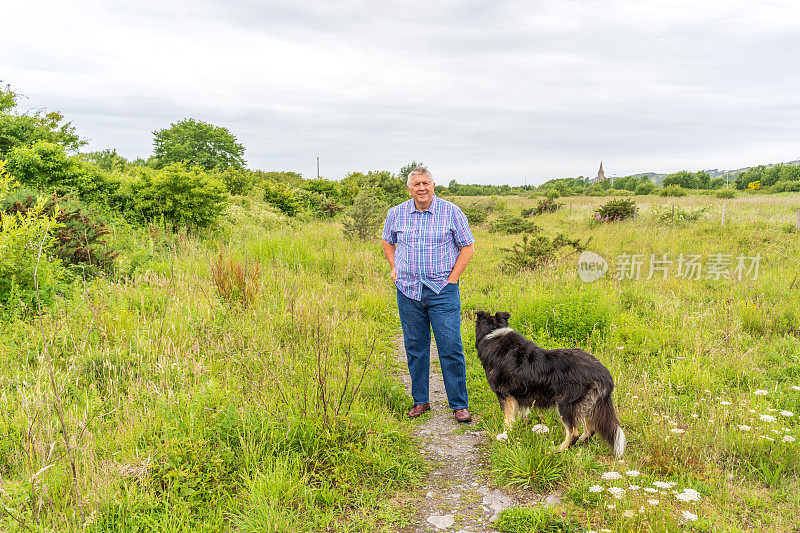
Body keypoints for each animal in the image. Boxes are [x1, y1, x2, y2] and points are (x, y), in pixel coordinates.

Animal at [476, 310, 624, 456]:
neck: (494, 332)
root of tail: (604, 373)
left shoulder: (504, 395)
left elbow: (508, 420)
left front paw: (505, 435)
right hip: (587, 404)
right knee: (590, 429)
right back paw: (579, 444)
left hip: (566, 404)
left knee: (573, 433)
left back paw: (557, 449)